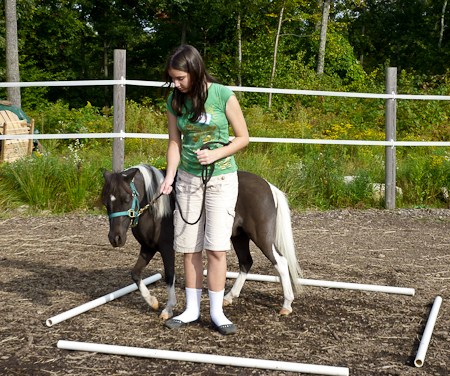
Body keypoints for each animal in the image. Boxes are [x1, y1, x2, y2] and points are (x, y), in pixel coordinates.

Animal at [102, 164, 302, 320]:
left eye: (127, 198)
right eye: (106, 202)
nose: (115, 238)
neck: (156, 209)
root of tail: (268, 186)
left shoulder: (166, 249)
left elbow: (169, 276)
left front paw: (168, 308)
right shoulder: (148, 248)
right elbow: (135, 274)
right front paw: (152, 302)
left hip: (261, 237)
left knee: (281, 262)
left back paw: (287, 305)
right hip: (239, 236)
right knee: (246, 262)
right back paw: (228, 297)